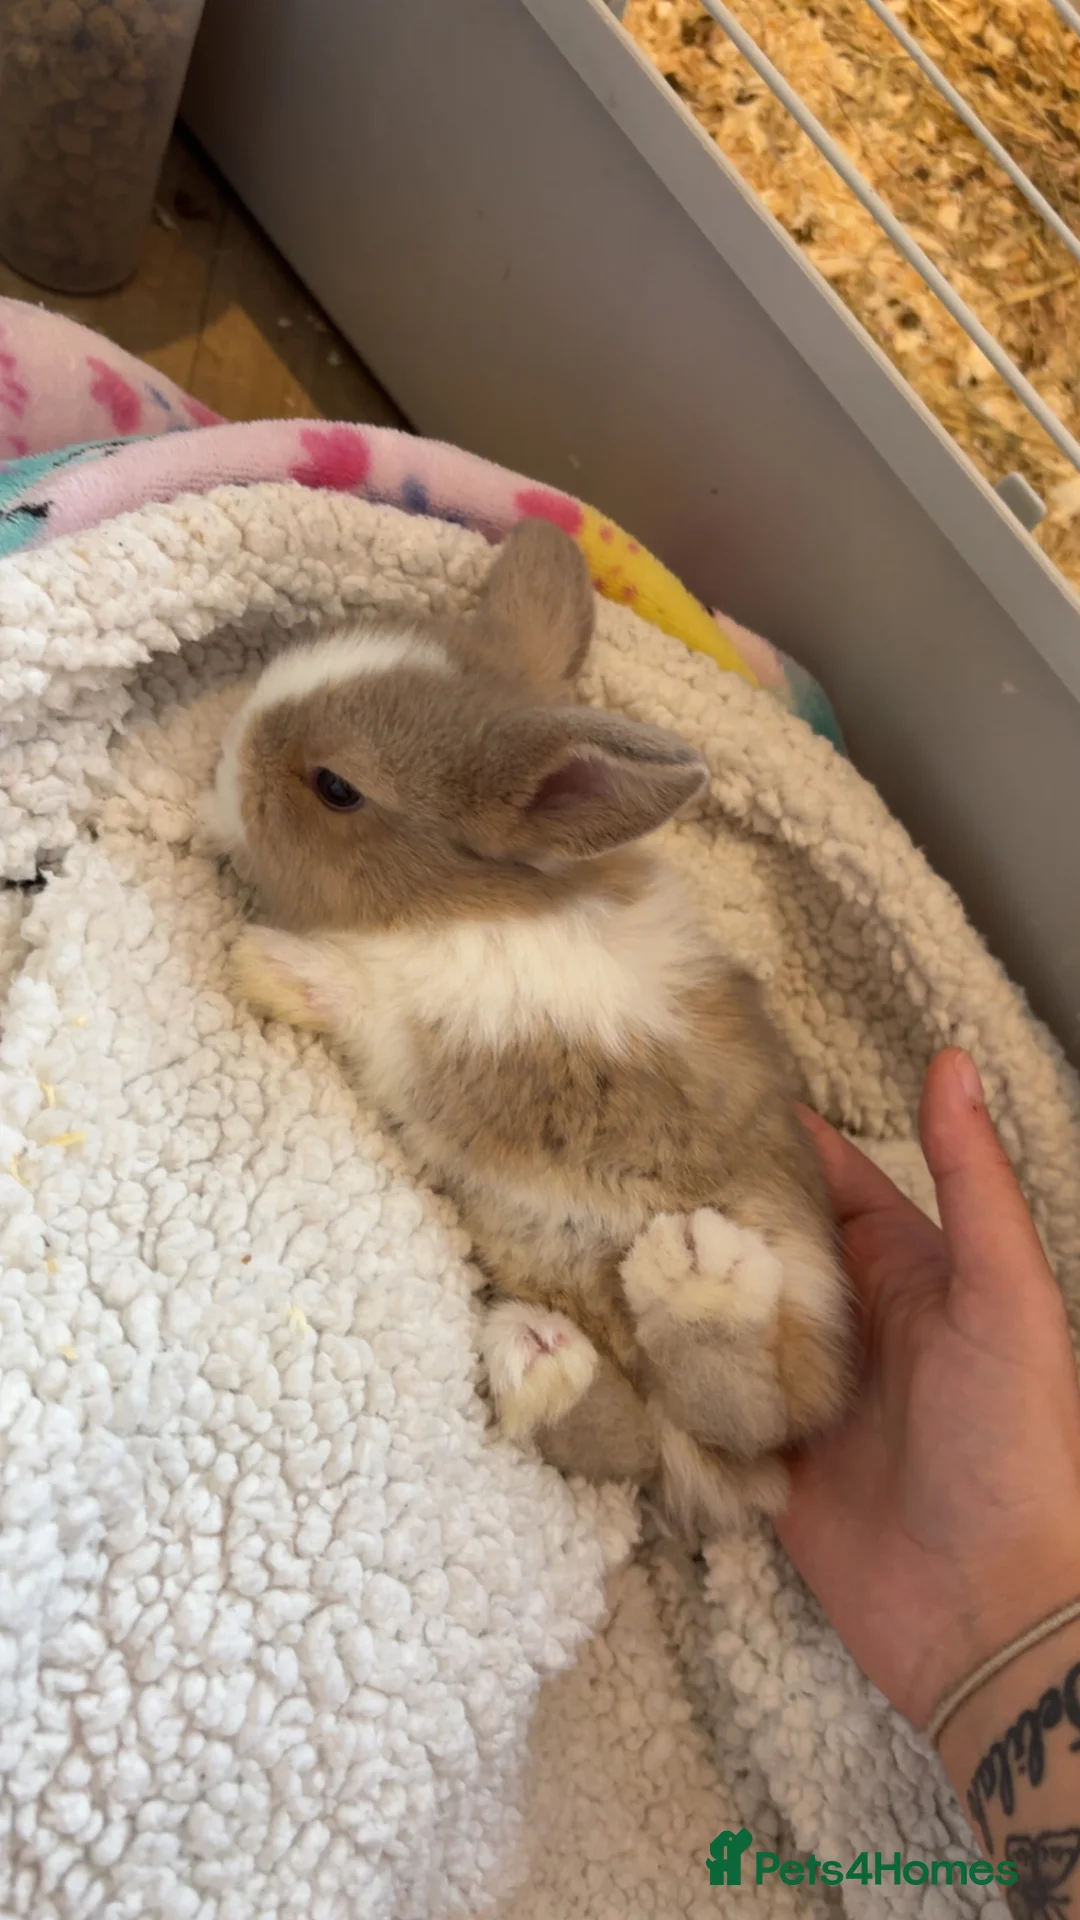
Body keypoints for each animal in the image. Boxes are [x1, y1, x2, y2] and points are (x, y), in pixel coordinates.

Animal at [203, 519, 852, 1537]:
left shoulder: (437, 1029)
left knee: (750, 1414)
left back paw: (695, 1276)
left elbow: (361, 997)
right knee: (639, 1443)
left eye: (336, 787)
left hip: (790, 1290)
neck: (463, 900)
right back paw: (541, 1361)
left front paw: (265, 963)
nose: (221, 768)